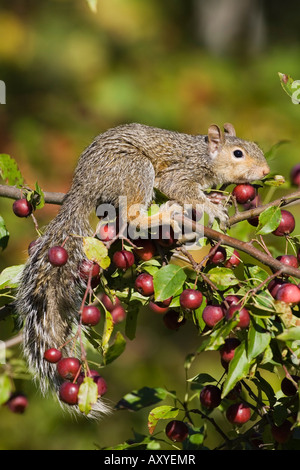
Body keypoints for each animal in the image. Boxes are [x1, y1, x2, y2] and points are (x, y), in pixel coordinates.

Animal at [15, 122, 270, 418]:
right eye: (238, 153)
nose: (265, 171)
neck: (205, 154)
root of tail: (83, 185)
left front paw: (216, 197)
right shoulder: (181, 172)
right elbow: (179, 188)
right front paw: (210, 206)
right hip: (135, 170)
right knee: (132, 217)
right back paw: (163, 214)